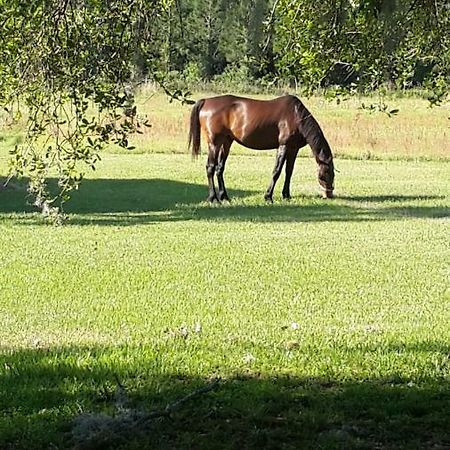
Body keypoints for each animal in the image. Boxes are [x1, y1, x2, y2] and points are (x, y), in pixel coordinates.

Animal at [187, 95, 334, 202]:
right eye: (326, 173)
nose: (329, 195)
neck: (296, 116)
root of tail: (206, 101)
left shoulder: (293, 149)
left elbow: (289, 172)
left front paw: (286, 195)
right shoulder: (283, 146)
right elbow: (277, 171)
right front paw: (268, 196)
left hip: (226, 143)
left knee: (219, 168)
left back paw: (224, 197)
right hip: (214, 144)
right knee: (210, 168)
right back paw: (213, 198)